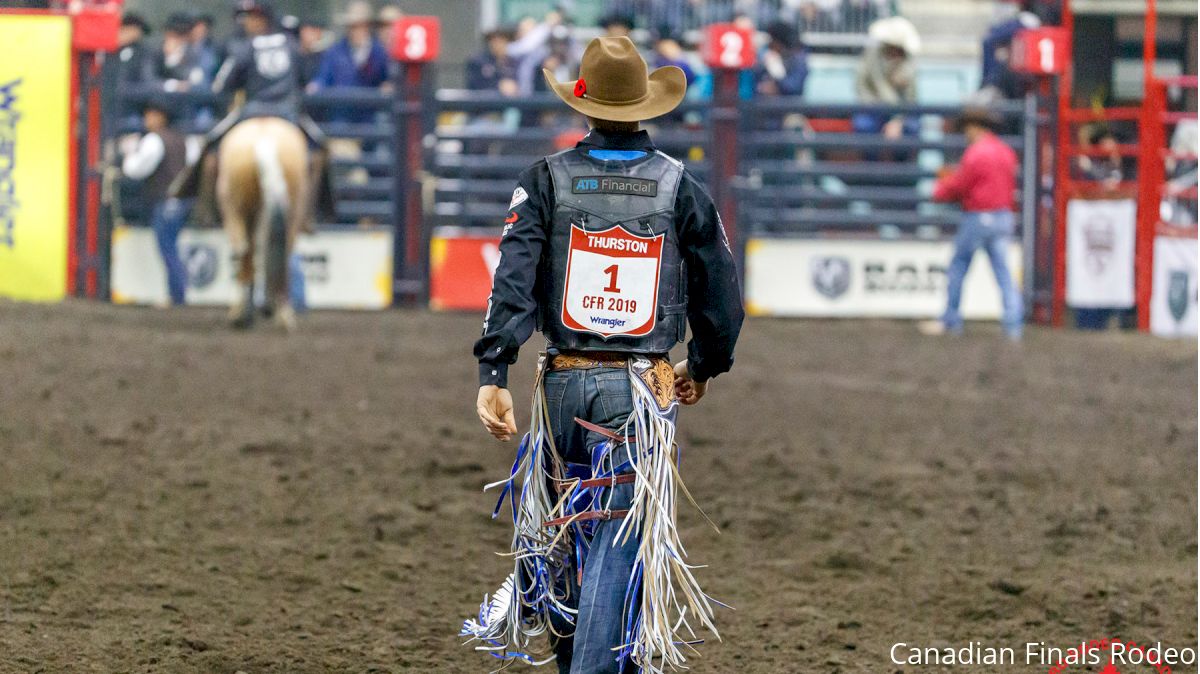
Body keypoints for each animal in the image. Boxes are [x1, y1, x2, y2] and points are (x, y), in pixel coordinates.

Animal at [216, 116, 309, 328]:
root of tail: (264, 140)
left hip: (237, 211)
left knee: (244, 250)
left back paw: (242, 314)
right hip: (289, 213)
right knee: (278, 251)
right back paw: (282, 313)